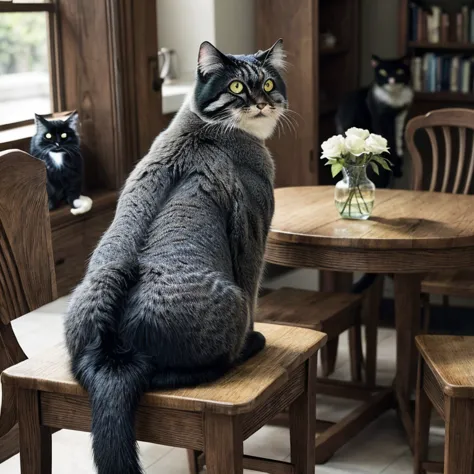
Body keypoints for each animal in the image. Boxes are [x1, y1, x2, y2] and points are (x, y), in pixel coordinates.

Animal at [64, 39, 286, 472]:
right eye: (236, 87)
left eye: (269, 82)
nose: (262, 101)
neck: (205, 130)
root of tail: (112, 352)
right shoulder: (254, 232)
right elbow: (255, 288)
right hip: (233, 303)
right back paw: (248, 346)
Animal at [336, 54, 412, 188]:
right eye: (383, 72)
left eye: (399, 71)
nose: (391, 80)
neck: (393, 101)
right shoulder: (379, 118)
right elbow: (389, 141)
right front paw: (395, 166)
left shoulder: (400, 117)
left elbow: (398, 140)